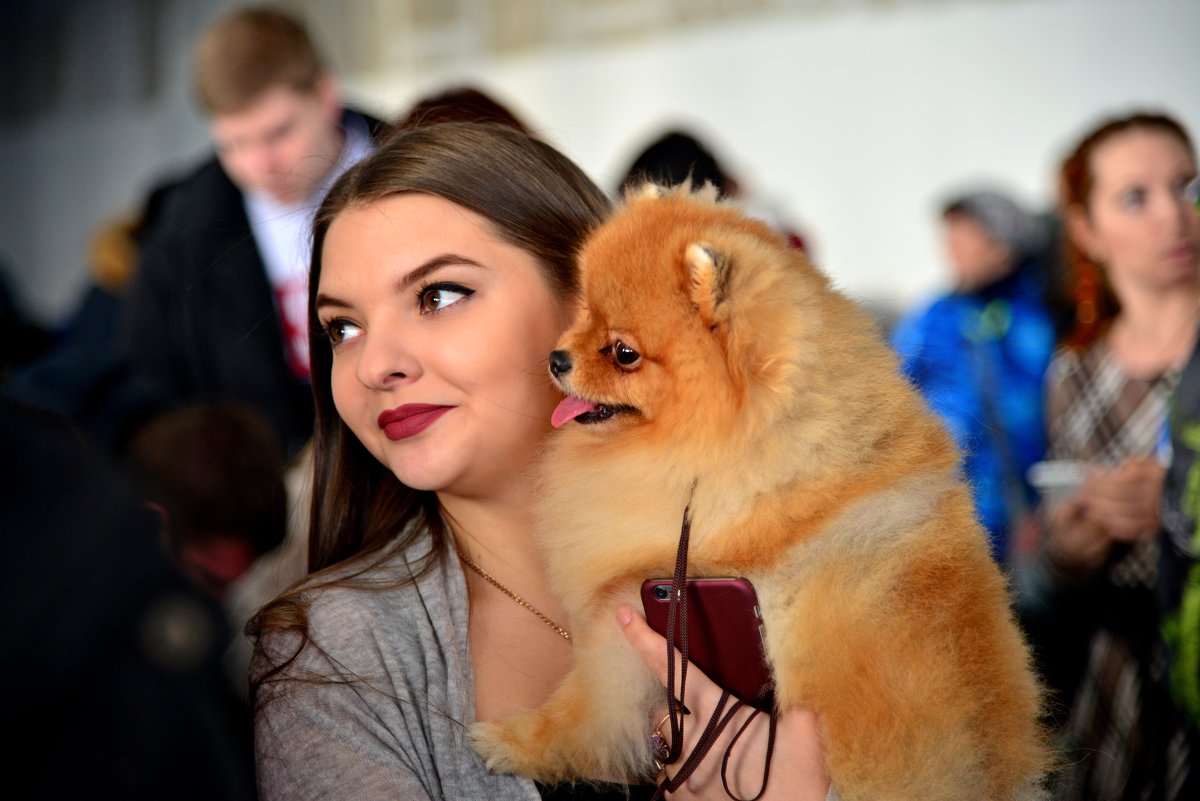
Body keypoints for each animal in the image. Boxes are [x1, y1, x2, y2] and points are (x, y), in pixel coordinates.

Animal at [470, 184, 1051, 796]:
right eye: (582, 313)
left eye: (624, 353)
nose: (556, 358)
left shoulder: (628, 630)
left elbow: (579, 717)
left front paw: (508, 742)